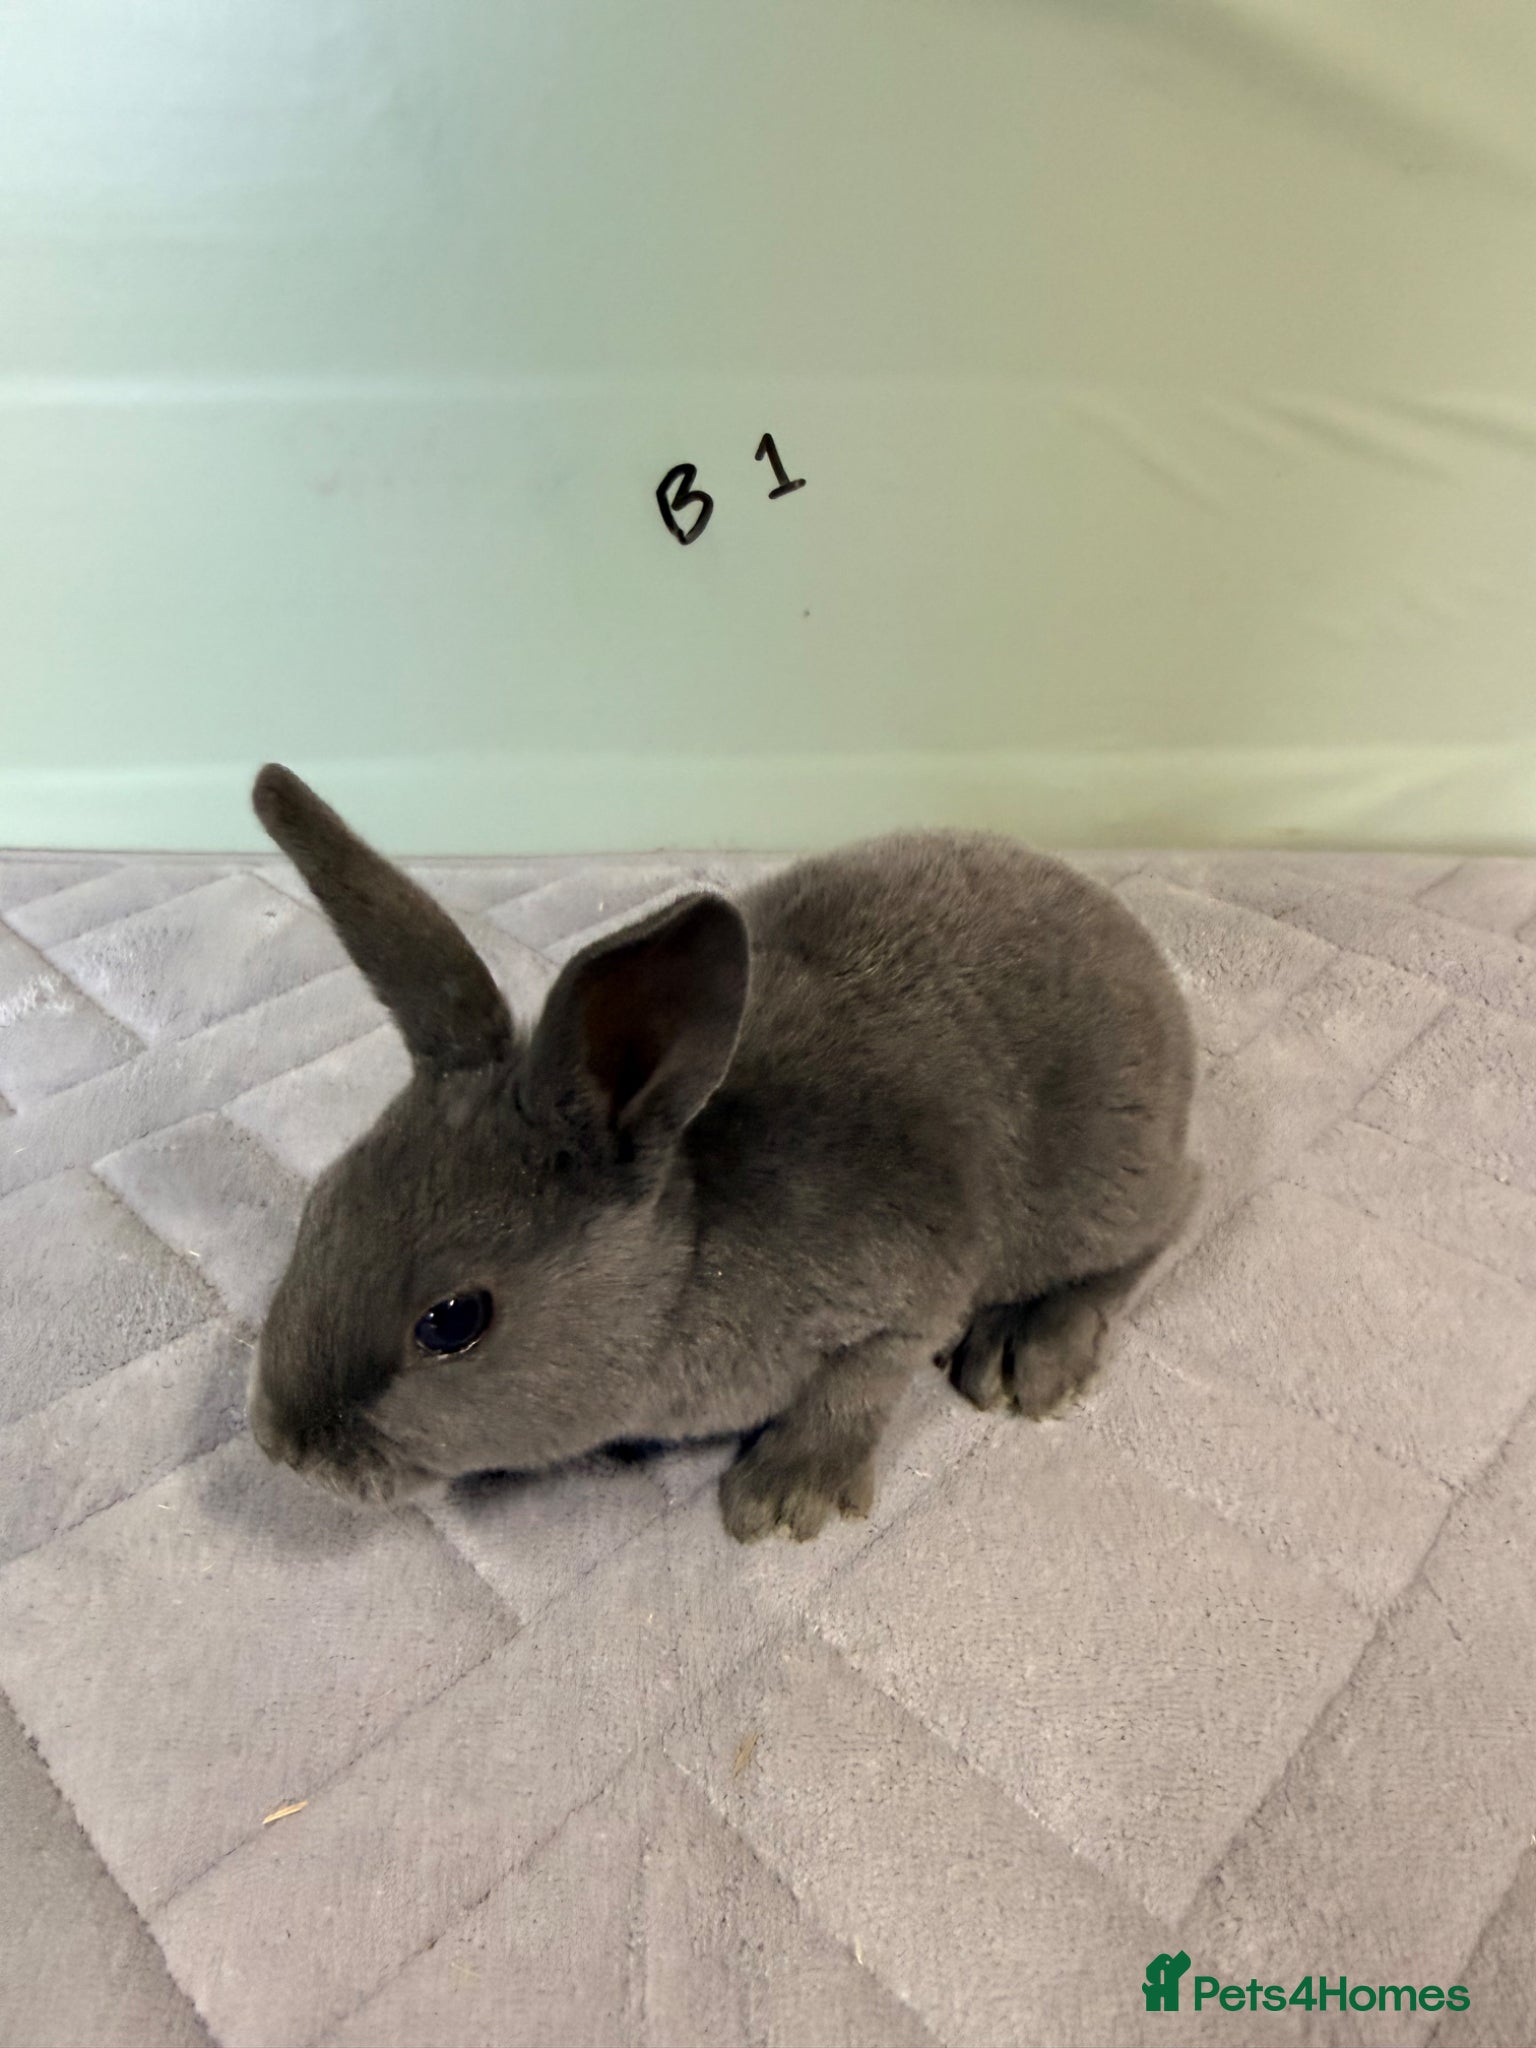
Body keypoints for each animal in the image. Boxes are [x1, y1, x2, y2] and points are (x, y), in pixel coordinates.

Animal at [247, 763, 1200, 1542]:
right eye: (321, 1205)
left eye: (451, 1321)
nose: (282, 1444)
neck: (683, 1266)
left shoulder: (905, 1298)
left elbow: (860, 1385)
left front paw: (781, 1497)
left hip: (1102, 1184)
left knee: (1161, 1226)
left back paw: (1027, 1350)